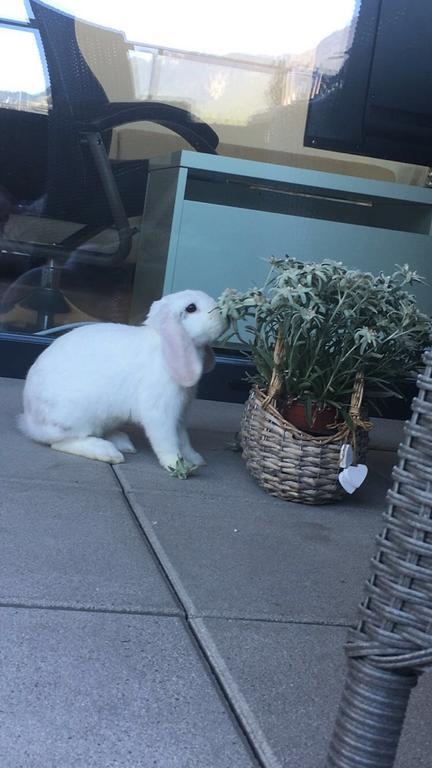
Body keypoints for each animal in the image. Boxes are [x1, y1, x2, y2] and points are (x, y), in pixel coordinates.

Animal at [17, 288, 226, 468]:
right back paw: (108, 452)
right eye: (191, 308)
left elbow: (183, 439)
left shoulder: (181, 414)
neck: (164, 347)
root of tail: (29, 422)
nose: (222, 317)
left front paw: (196, 459)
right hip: (75, 418)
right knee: (62, 442)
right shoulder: (160, 412)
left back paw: (123, 442)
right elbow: (166, 440)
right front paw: (176, 465)